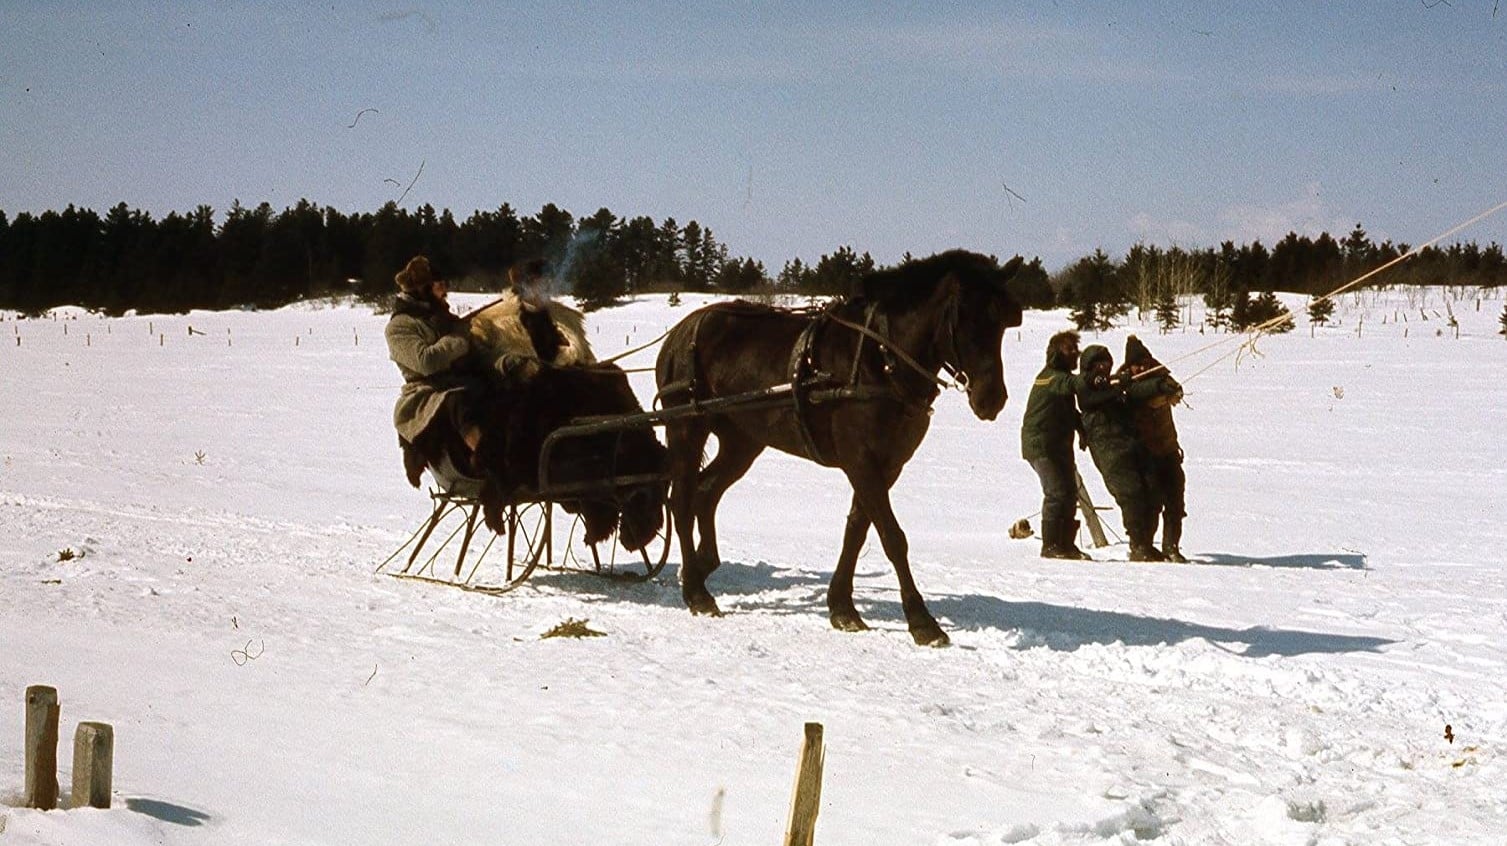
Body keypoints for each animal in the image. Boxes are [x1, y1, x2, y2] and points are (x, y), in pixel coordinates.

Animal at [657, 250, 1024, 645]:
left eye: (1002, 324)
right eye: (965, 318)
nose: (992, 398)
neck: (880, 359)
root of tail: (679, 333)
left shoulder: (888, 464)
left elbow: (857, 530)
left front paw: (843, 607)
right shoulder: (860, 459)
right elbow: (892, 536)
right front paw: (922, 621)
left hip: (743, 440)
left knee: (706, 493)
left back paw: (701, 566)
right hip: (685, 428)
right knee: (680, 502)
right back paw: (696, 591)